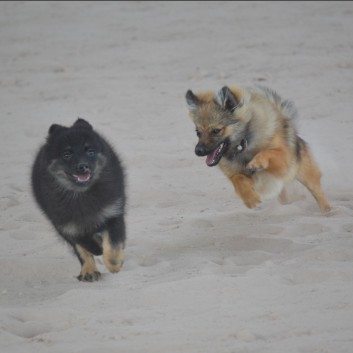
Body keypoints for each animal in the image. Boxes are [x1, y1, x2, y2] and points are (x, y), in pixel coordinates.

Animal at [31, 118, 126, 280]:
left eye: (90, 152)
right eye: (67, 155)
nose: (83, 167)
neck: (81, 194)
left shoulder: (113, 212)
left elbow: (113, 243)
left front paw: (114, 263)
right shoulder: (66, 225)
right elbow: (84, 243)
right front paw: (97, 249)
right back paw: (89, 271)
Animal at [184, 84, 330, 212]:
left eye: (216, 131)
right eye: (198, 132)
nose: (198, 151)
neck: (242, 145)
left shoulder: (284, 162)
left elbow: (267, 152)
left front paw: (257, 162)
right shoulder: (241, 176)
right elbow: (238, 179)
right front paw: (250, 199)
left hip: (305, 175)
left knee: (318, 193)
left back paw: (327, 211)